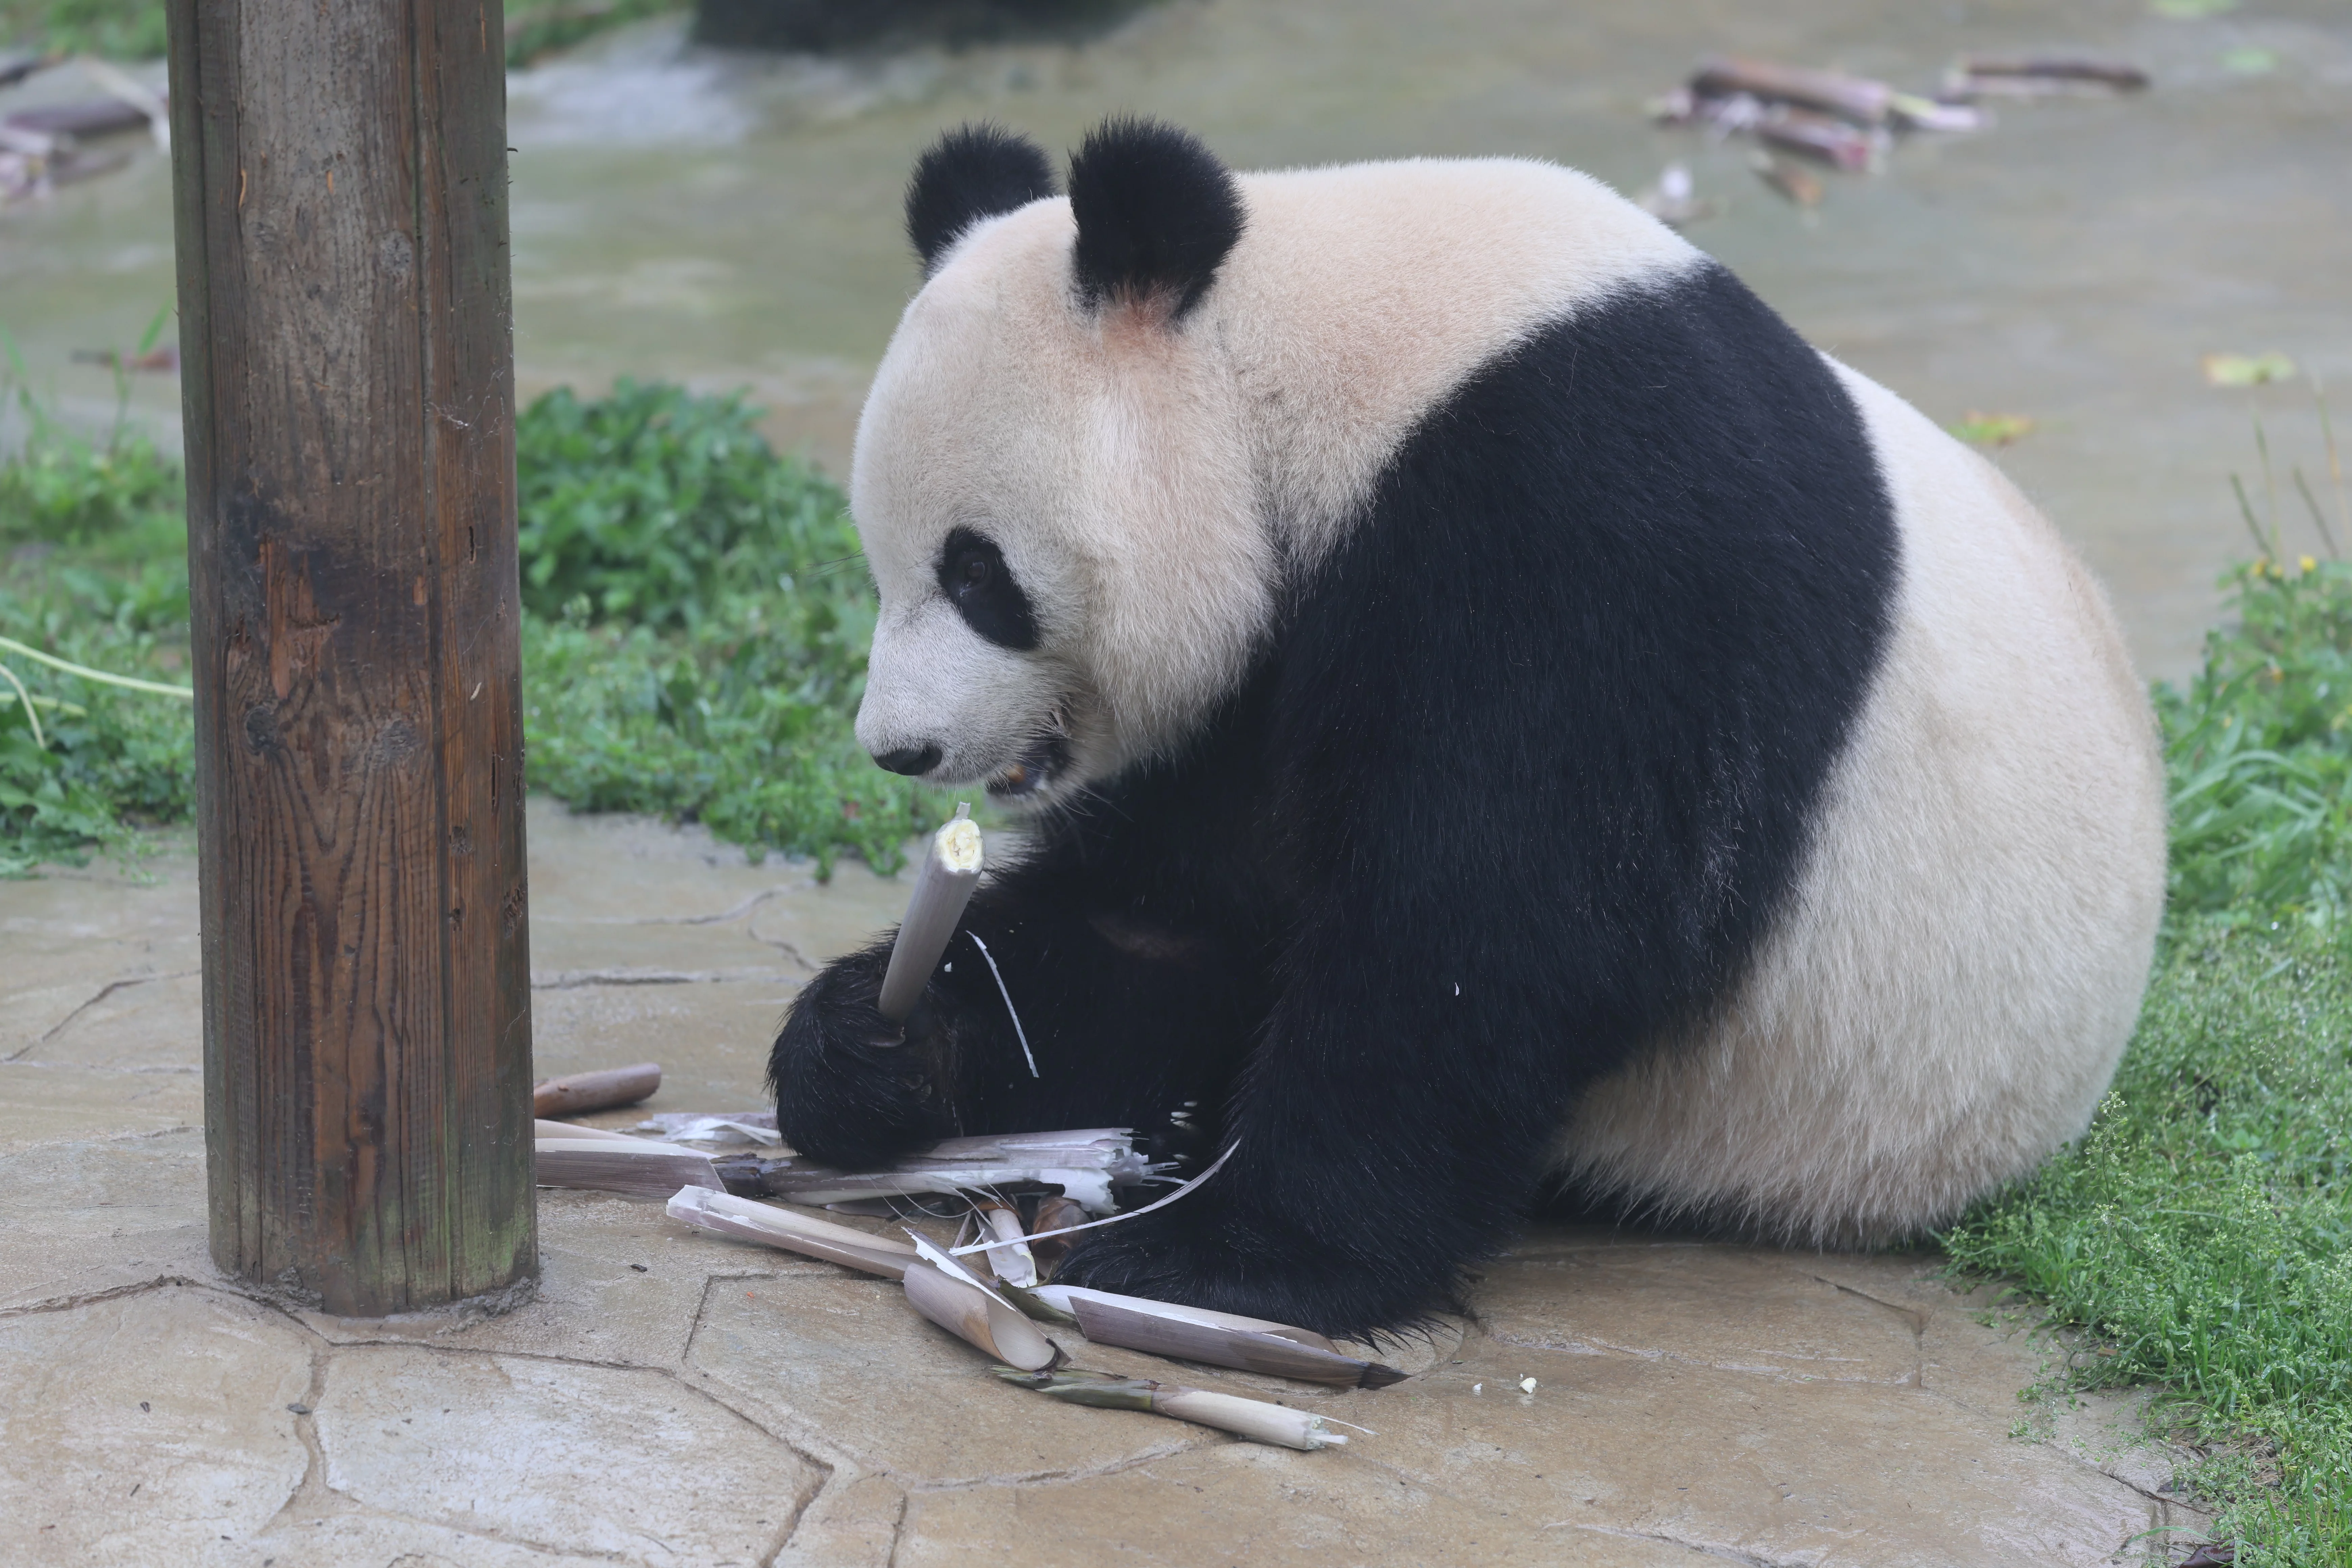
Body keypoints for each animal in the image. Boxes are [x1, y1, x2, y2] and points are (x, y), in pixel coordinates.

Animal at [769, 118, 2168, 1337]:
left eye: (977, 575)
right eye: (882, 560)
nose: (900, 747)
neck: (1312, 363)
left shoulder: (1585, 522)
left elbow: (1483, 926)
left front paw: (1220, 1256)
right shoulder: (1257, 680)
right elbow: (1182, 916)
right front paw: (870, 1043)